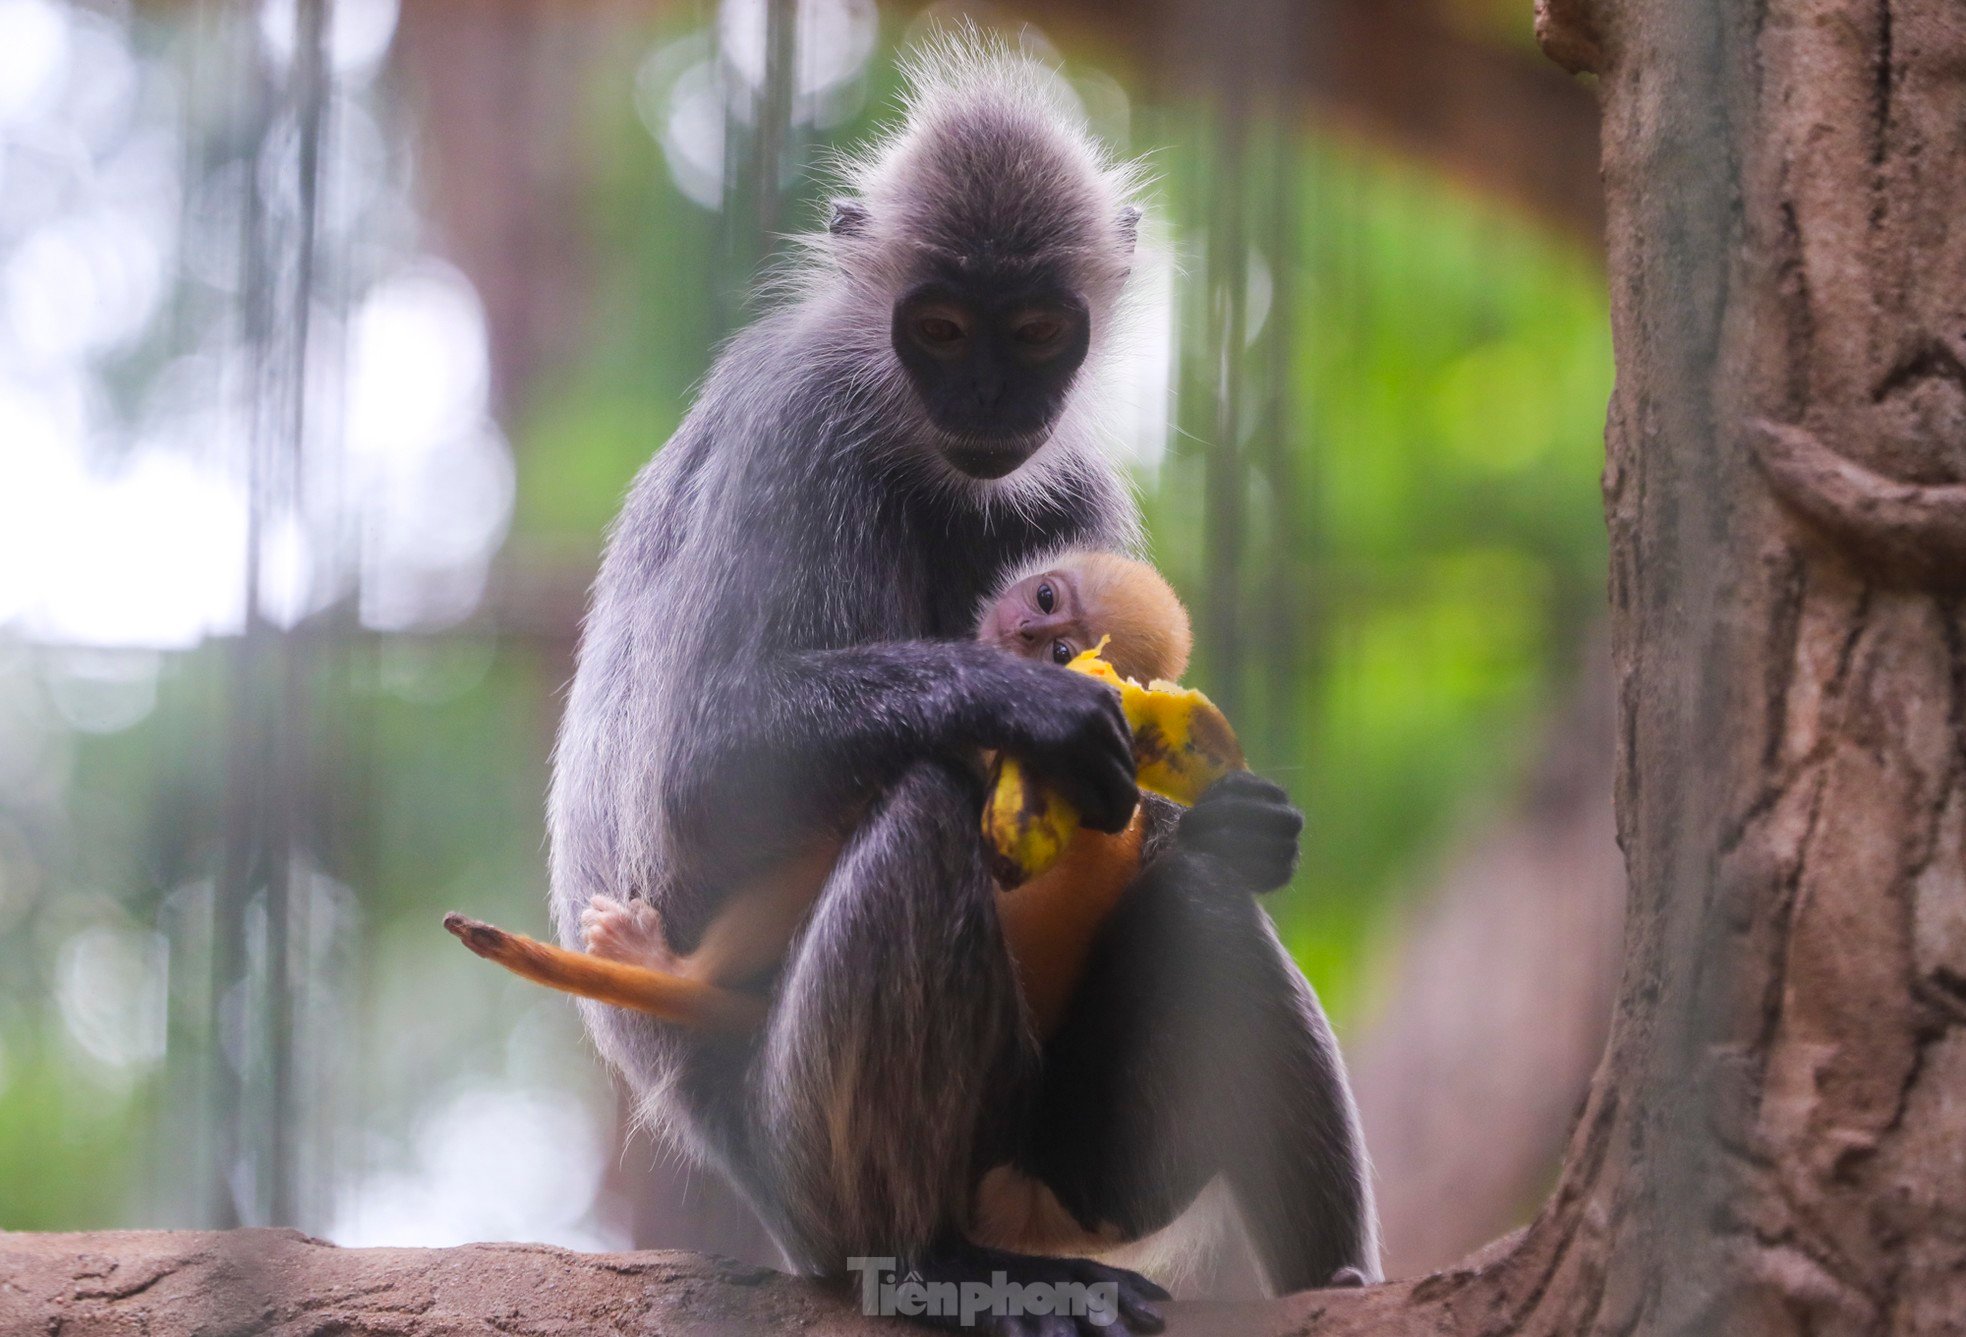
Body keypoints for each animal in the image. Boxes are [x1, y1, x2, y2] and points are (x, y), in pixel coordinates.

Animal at [550, 36, 1384, 1329]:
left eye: (1036, 331)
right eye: (939, 329)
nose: (991, 400)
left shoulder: (1071, 484)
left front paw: (1231, 820)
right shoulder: (800, 428)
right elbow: (695, 782)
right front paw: (1031, 711)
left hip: (1080, 1171)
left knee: (1204, 911)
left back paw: (1333, 1276)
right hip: (812, 1170)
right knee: (922, 805)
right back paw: (930, 1258)